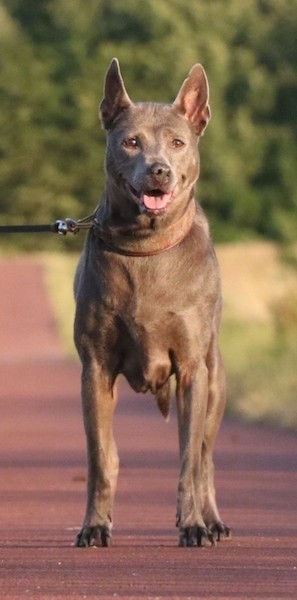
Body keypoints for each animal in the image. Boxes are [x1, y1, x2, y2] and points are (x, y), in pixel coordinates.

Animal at [73, 58, 229, 548]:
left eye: (178, 142)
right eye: (131, 141)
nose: (159, 171)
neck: (145, 246)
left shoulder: (193, 370)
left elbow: (188, 460)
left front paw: (194, 525)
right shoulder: (95, 368)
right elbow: (101, 457)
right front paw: (94, 526)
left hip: (215, 381)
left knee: (205, 456)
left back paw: (212, 521)